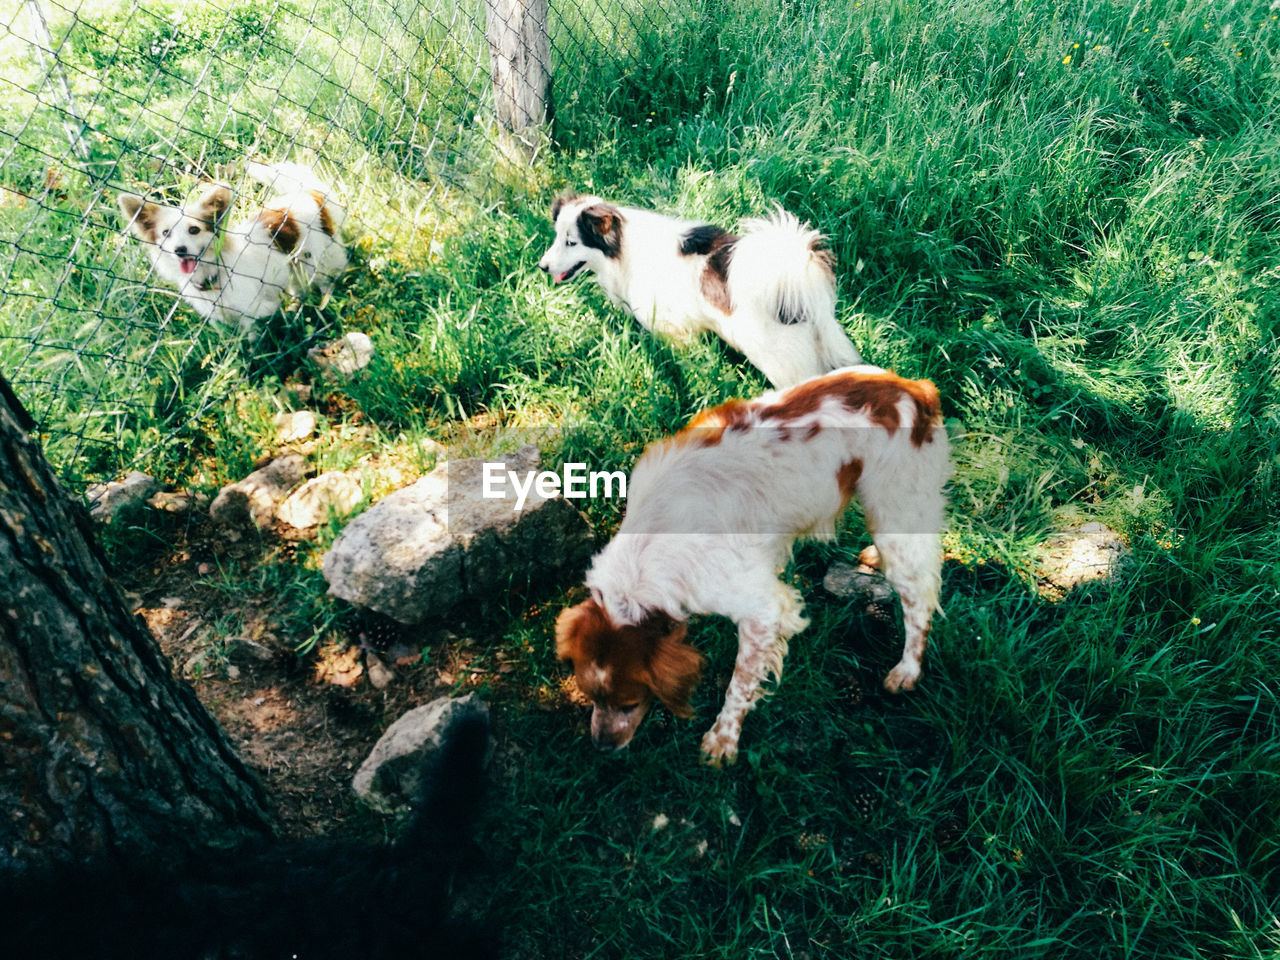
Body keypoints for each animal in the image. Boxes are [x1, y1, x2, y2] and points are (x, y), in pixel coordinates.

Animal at [118, 163, 348, 330]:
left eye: (194, 230)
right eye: (166, 233)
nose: (179, 250)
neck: (213, 276)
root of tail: (308, 193)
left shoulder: (251, 312)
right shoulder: (221, 319)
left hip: (316, 262)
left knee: (325, 281)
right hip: (293, 268)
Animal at [535, 193, 865, 389]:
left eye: (572, 242)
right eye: (556, 237)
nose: (542, 266)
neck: (624, 250)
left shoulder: (672, 329)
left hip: (783, 365)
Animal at [552, 363, 952, 762]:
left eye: (629, 704)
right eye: (592, 698)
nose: (602, 745)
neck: (648, 548)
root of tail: (916, 389)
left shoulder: (762, 610)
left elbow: (740, 683)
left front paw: (723, 738)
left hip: (897, 518)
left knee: (920, 601)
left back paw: (907, 671)